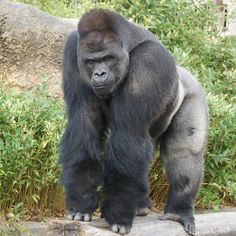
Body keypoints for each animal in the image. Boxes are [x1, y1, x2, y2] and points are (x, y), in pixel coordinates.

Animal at [59, 8, 208, 235]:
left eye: (108, 58)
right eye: (91, 62)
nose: (99, 73)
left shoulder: (149, 62)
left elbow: (128, 135)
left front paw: (118, 215)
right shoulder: (71, 52)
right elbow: (84, 124)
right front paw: (80, 203)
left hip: (195, 94)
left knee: (183, 151)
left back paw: (178, 210)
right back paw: (140, 206)